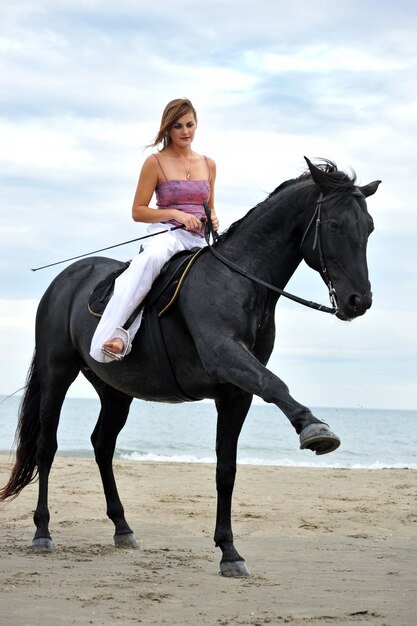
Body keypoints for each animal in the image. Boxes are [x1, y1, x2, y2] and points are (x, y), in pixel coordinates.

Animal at [0, 157, 378, 576]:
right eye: (334, 225)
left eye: (369, 227)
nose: (359, 300)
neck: (239, 280)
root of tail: (66, 278)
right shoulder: (227, 357)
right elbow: (276, 385)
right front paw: (315, 429)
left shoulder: (236, 393)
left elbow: (226, 470)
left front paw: (229, 552)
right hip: (57, 374)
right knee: (47, 447)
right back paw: (42, 531)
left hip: (115, 390)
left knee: (102, 445)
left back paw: (122, 527)